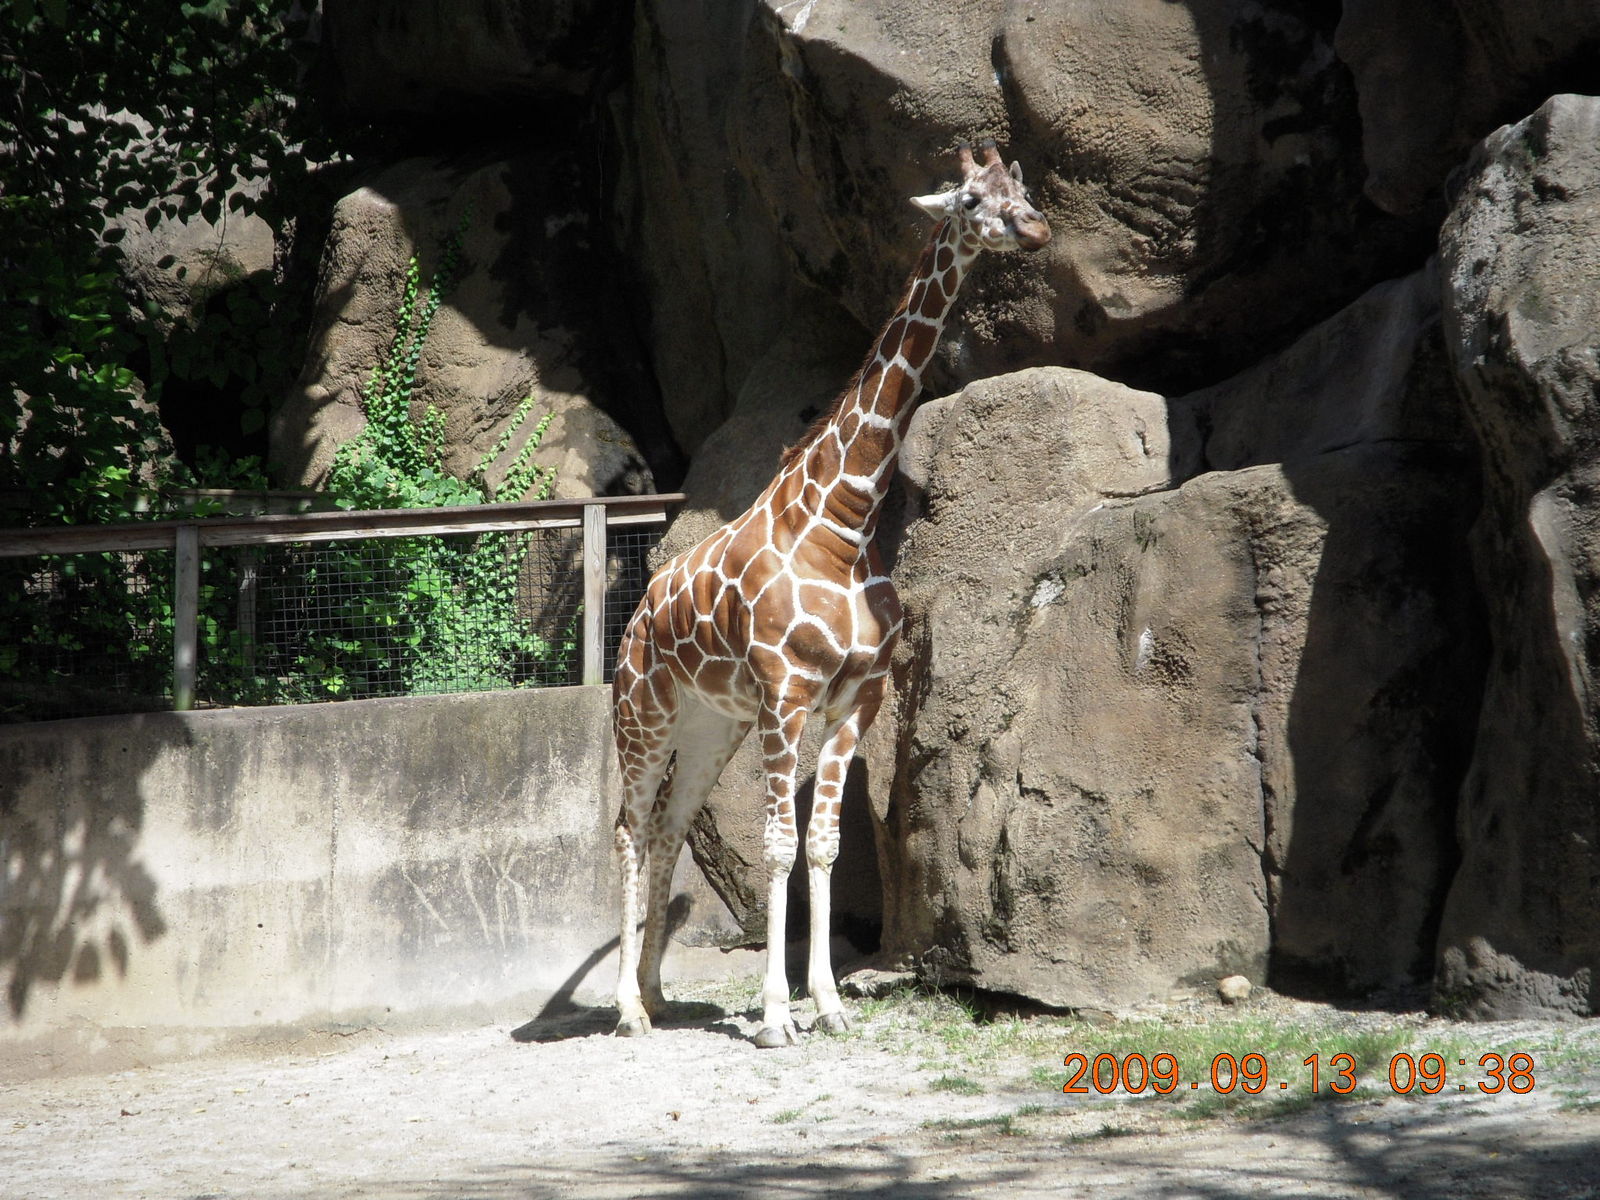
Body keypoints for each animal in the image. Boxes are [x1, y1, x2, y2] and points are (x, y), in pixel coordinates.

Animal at [611, 141, 1050, 1047]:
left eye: (1021, 187)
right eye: (968, 199)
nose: (1034, 228)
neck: (842, 525)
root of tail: (635, 616)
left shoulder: (857, 697)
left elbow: (822, 846)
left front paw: (828, 1004)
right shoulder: (787, 696)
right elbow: (777, 846)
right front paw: (777, 1016)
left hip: (708, 727)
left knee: (669, 825)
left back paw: (659, 997)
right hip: (642, 717)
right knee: (629, 829)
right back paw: (626, 1009)